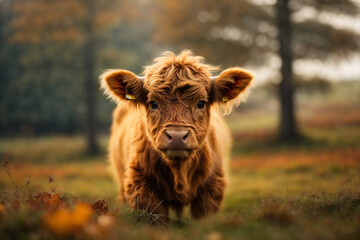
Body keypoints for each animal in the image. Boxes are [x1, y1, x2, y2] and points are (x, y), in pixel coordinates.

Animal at [100, 50, 253, 221]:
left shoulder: (212, 188)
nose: (177, 136)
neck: (179, 172)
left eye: (201, 103)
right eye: (153, 103)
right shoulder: (141, 187)